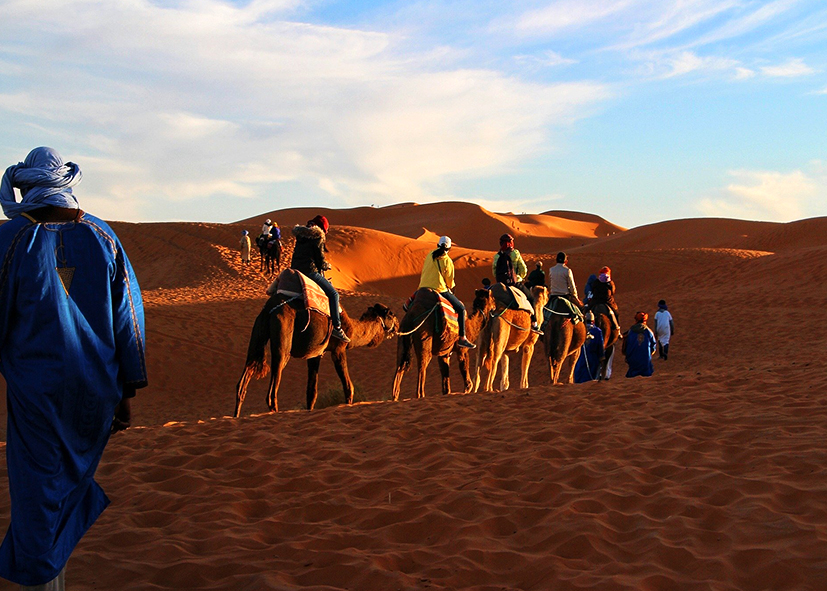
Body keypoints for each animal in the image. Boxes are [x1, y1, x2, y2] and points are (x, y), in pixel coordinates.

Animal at [234, 296, 400, 416]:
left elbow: (311, 391)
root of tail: (269, 309)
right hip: (283, 337)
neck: (352, 330)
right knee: (273, 387)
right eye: (392, 314)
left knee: (244, 379)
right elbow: (348, 386)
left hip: (258, 334)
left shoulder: (316, 354)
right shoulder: (339, 350)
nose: (398, 325)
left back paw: (236, 416)